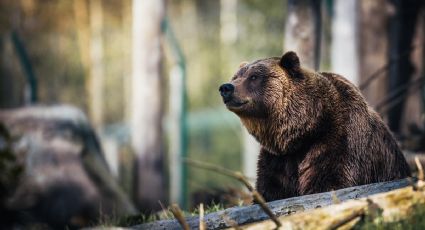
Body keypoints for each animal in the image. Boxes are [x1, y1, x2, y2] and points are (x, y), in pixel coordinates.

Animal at [219, 50, 410, 201]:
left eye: (254, 76)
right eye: (236, 76)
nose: (226, 88)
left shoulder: (338, 140)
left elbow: (329, 181)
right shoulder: (278, 158)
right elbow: (271, 189)